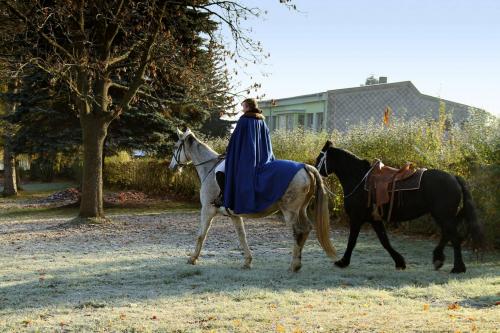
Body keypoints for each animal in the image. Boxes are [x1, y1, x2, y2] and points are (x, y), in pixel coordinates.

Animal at [168, 128, 336, 272]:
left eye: (176, 147)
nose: (171, 167)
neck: (210, 169)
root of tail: (304, 167)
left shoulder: (207, 210)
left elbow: (201, 235)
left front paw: (192, 258)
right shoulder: (234, 215)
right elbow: (242, 236)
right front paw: (247, 261)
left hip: (290, 211)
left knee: (298, 231)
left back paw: (294, 265)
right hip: (301, 210)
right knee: (306, 229)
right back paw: (298, 264)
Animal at [314, 140, 482, 272]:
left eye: (319, 158)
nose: (314, 170)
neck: (359, 180)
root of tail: (454, 177)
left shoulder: (357, 218)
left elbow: (353, 241)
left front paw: (343, 262)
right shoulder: (374, 219)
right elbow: (385, 241)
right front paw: (400, 262)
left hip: (443, 216)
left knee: (454, 236)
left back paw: (457, 267)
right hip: (444, 216)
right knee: (448, 234)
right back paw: (439, 259)